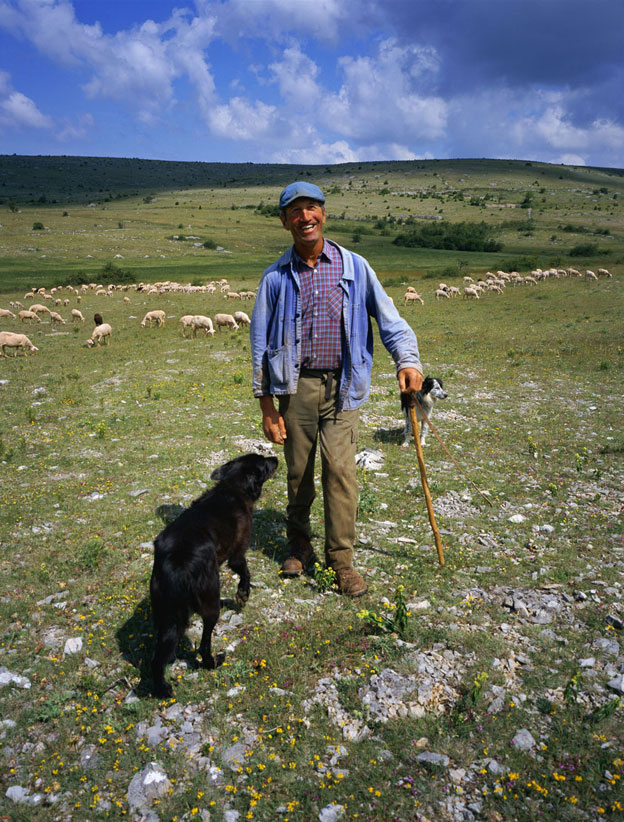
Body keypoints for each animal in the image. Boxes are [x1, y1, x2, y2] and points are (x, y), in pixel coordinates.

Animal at [150, 454, 276, 700]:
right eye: (264, 462)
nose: (276, 457)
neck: (232, 486)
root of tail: (175, 563)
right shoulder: (237, 555)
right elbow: (245, 572)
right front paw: (242, 594)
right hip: (209, 601)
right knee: (204, 645)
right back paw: (213, 662)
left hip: (167, 613)